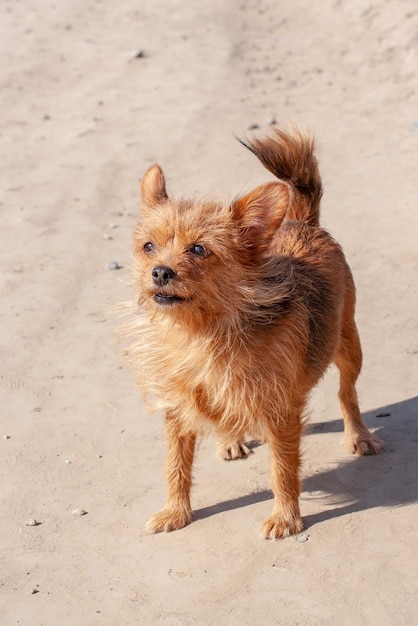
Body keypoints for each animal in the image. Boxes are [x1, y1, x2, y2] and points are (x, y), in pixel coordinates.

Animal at [124, 123, 382, 536]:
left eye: (199, 250)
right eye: (149, 247)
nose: (160, 272)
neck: (201, 333)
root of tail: (302, 222)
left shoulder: (282, 409)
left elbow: (283, 468)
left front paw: (286, 516)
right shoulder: (179, 408)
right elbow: (176, 466)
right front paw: (175, 511)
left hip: (347, 343)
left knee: (347, 393)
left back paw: (359, 435)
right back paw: (231, 439)